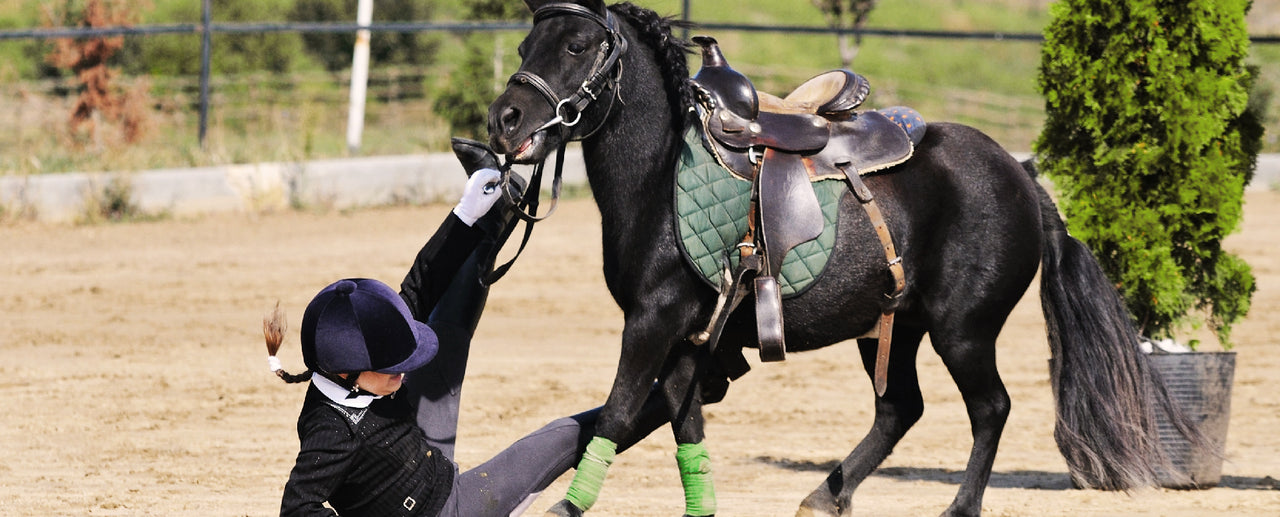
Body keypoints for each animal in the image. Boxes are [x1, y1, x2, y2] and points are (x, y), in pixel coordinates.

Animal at [485, 1, 1204, 516]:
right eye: (524, 47)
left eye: (577, 46)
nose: (505, 119)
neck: (663, 177)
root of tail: (1023, 176)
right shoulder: (688, 338)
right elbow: (685, 428)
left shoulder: (652, 323)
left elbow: (616, 410)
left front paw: (566, 507)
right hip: (893, 323)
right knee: (900, 409)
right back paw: (825, 494)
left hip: (963, 329)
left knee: (990, 409)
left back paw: (957, 507)